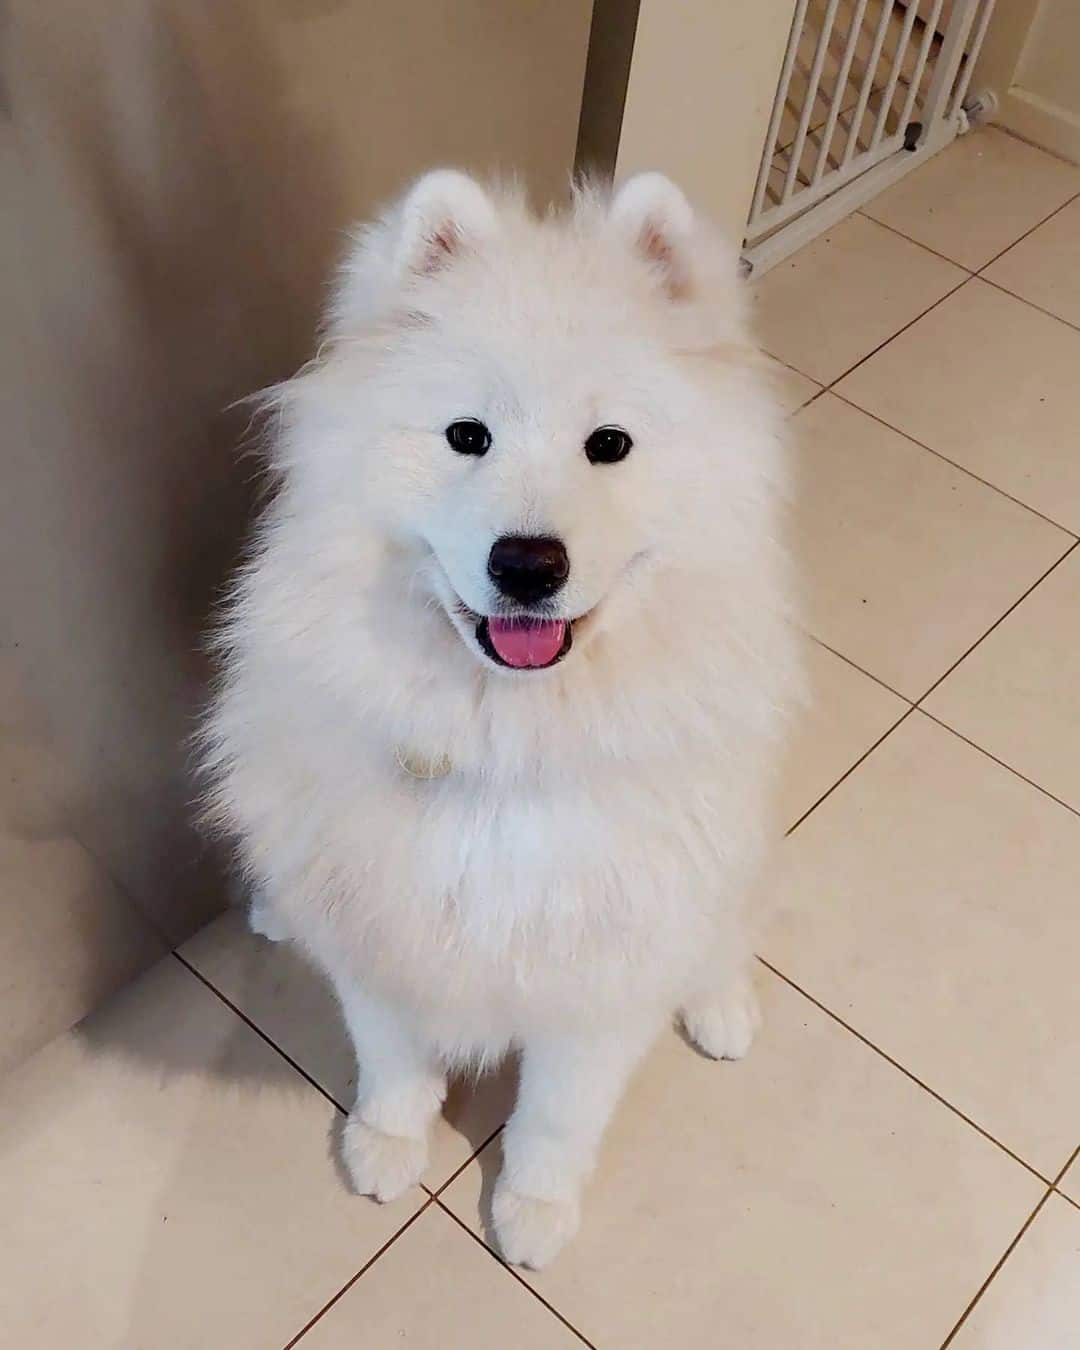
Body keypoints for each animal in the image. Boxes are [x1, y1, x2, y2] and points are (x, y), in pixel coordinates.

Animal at [202, 168, 799, 1263]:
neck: (508, 744)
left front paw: (532, 1211)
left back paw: (721, 1009)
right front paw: (386, 1146)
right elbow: (392, 1060)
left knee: (724, 932)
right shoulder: (383, 931)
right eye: (466, 436)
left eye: (609, 445)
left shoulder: (599, 982)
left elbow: (557, 1117)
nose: (527, 564)